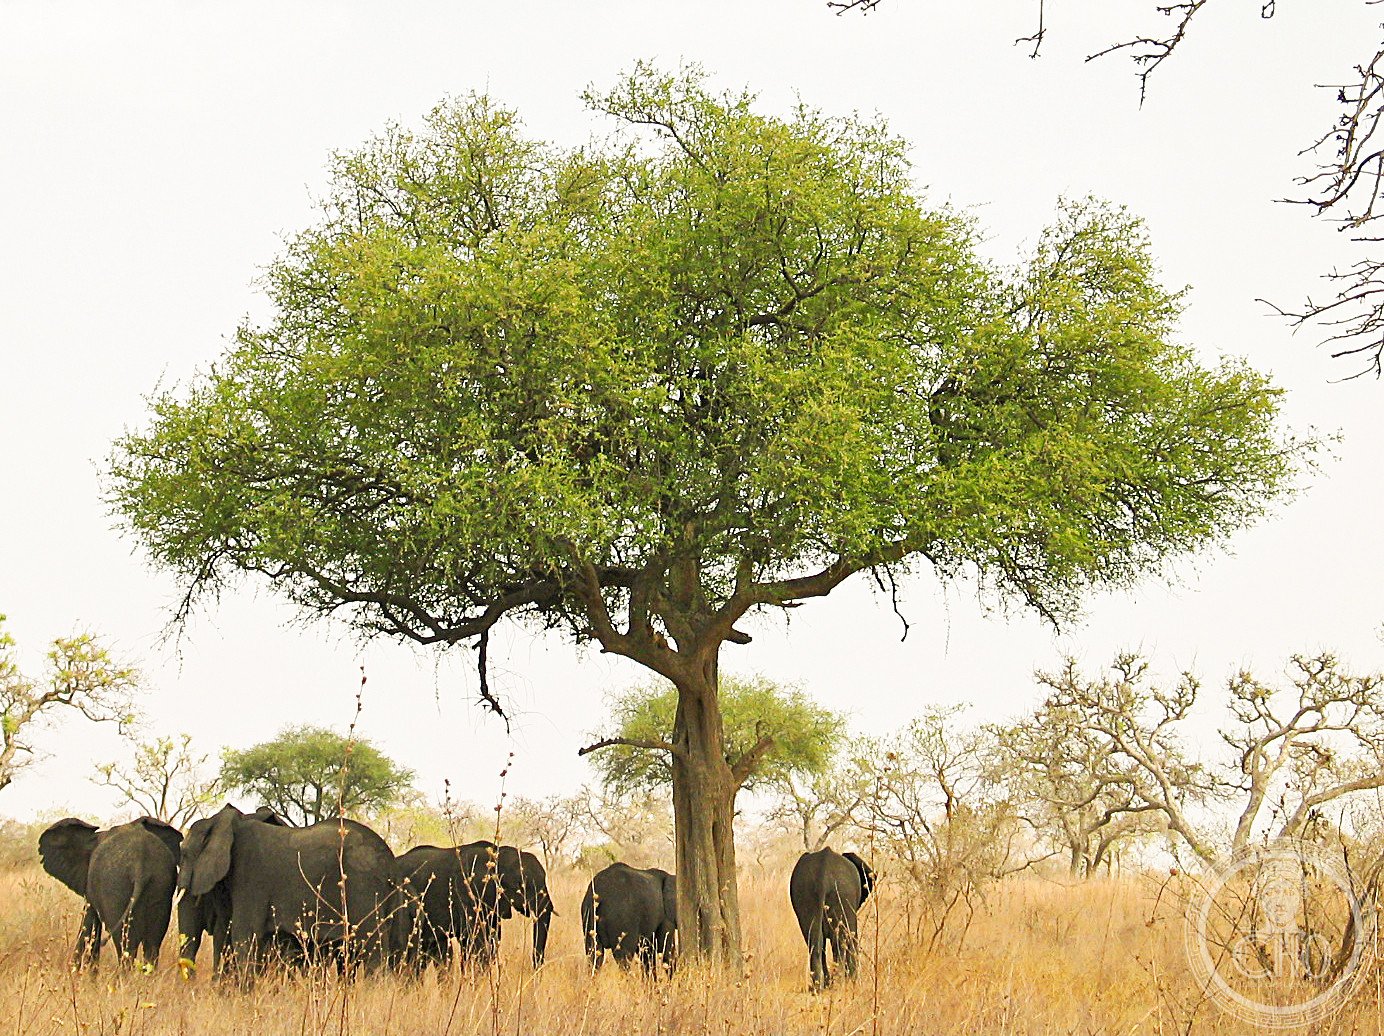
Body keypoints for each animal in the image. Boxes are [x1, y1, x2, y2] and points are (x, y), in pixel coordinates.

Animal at [38, 815, 183, 968]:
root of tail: (141, 864)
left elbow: (89, 923)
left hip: (115, 885)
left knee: (125, 943)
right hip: (160, 882)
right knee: (153, 941)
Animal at [176, 804, 401, 979]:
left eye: (184, 853)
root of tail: (390, 862)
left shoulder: (250, 877)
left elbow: (243, 934)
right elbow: (226, 933)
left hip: (364, 888)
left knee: (372, 948)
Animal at [395, 841, 553, 971]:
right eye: (520, 885)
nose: (535, 968)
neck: (497, 855)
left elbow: (492, 940)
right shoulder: (469, 893)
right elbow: (475, 941)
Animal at [789, 847, 874, 990]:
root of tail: (823, 871)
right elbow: (852, 939)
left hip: (805, 895)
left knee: (814, 942)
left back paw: (817, 988)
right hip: (842, 895)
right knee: (839, 943)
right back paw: (837, 984)